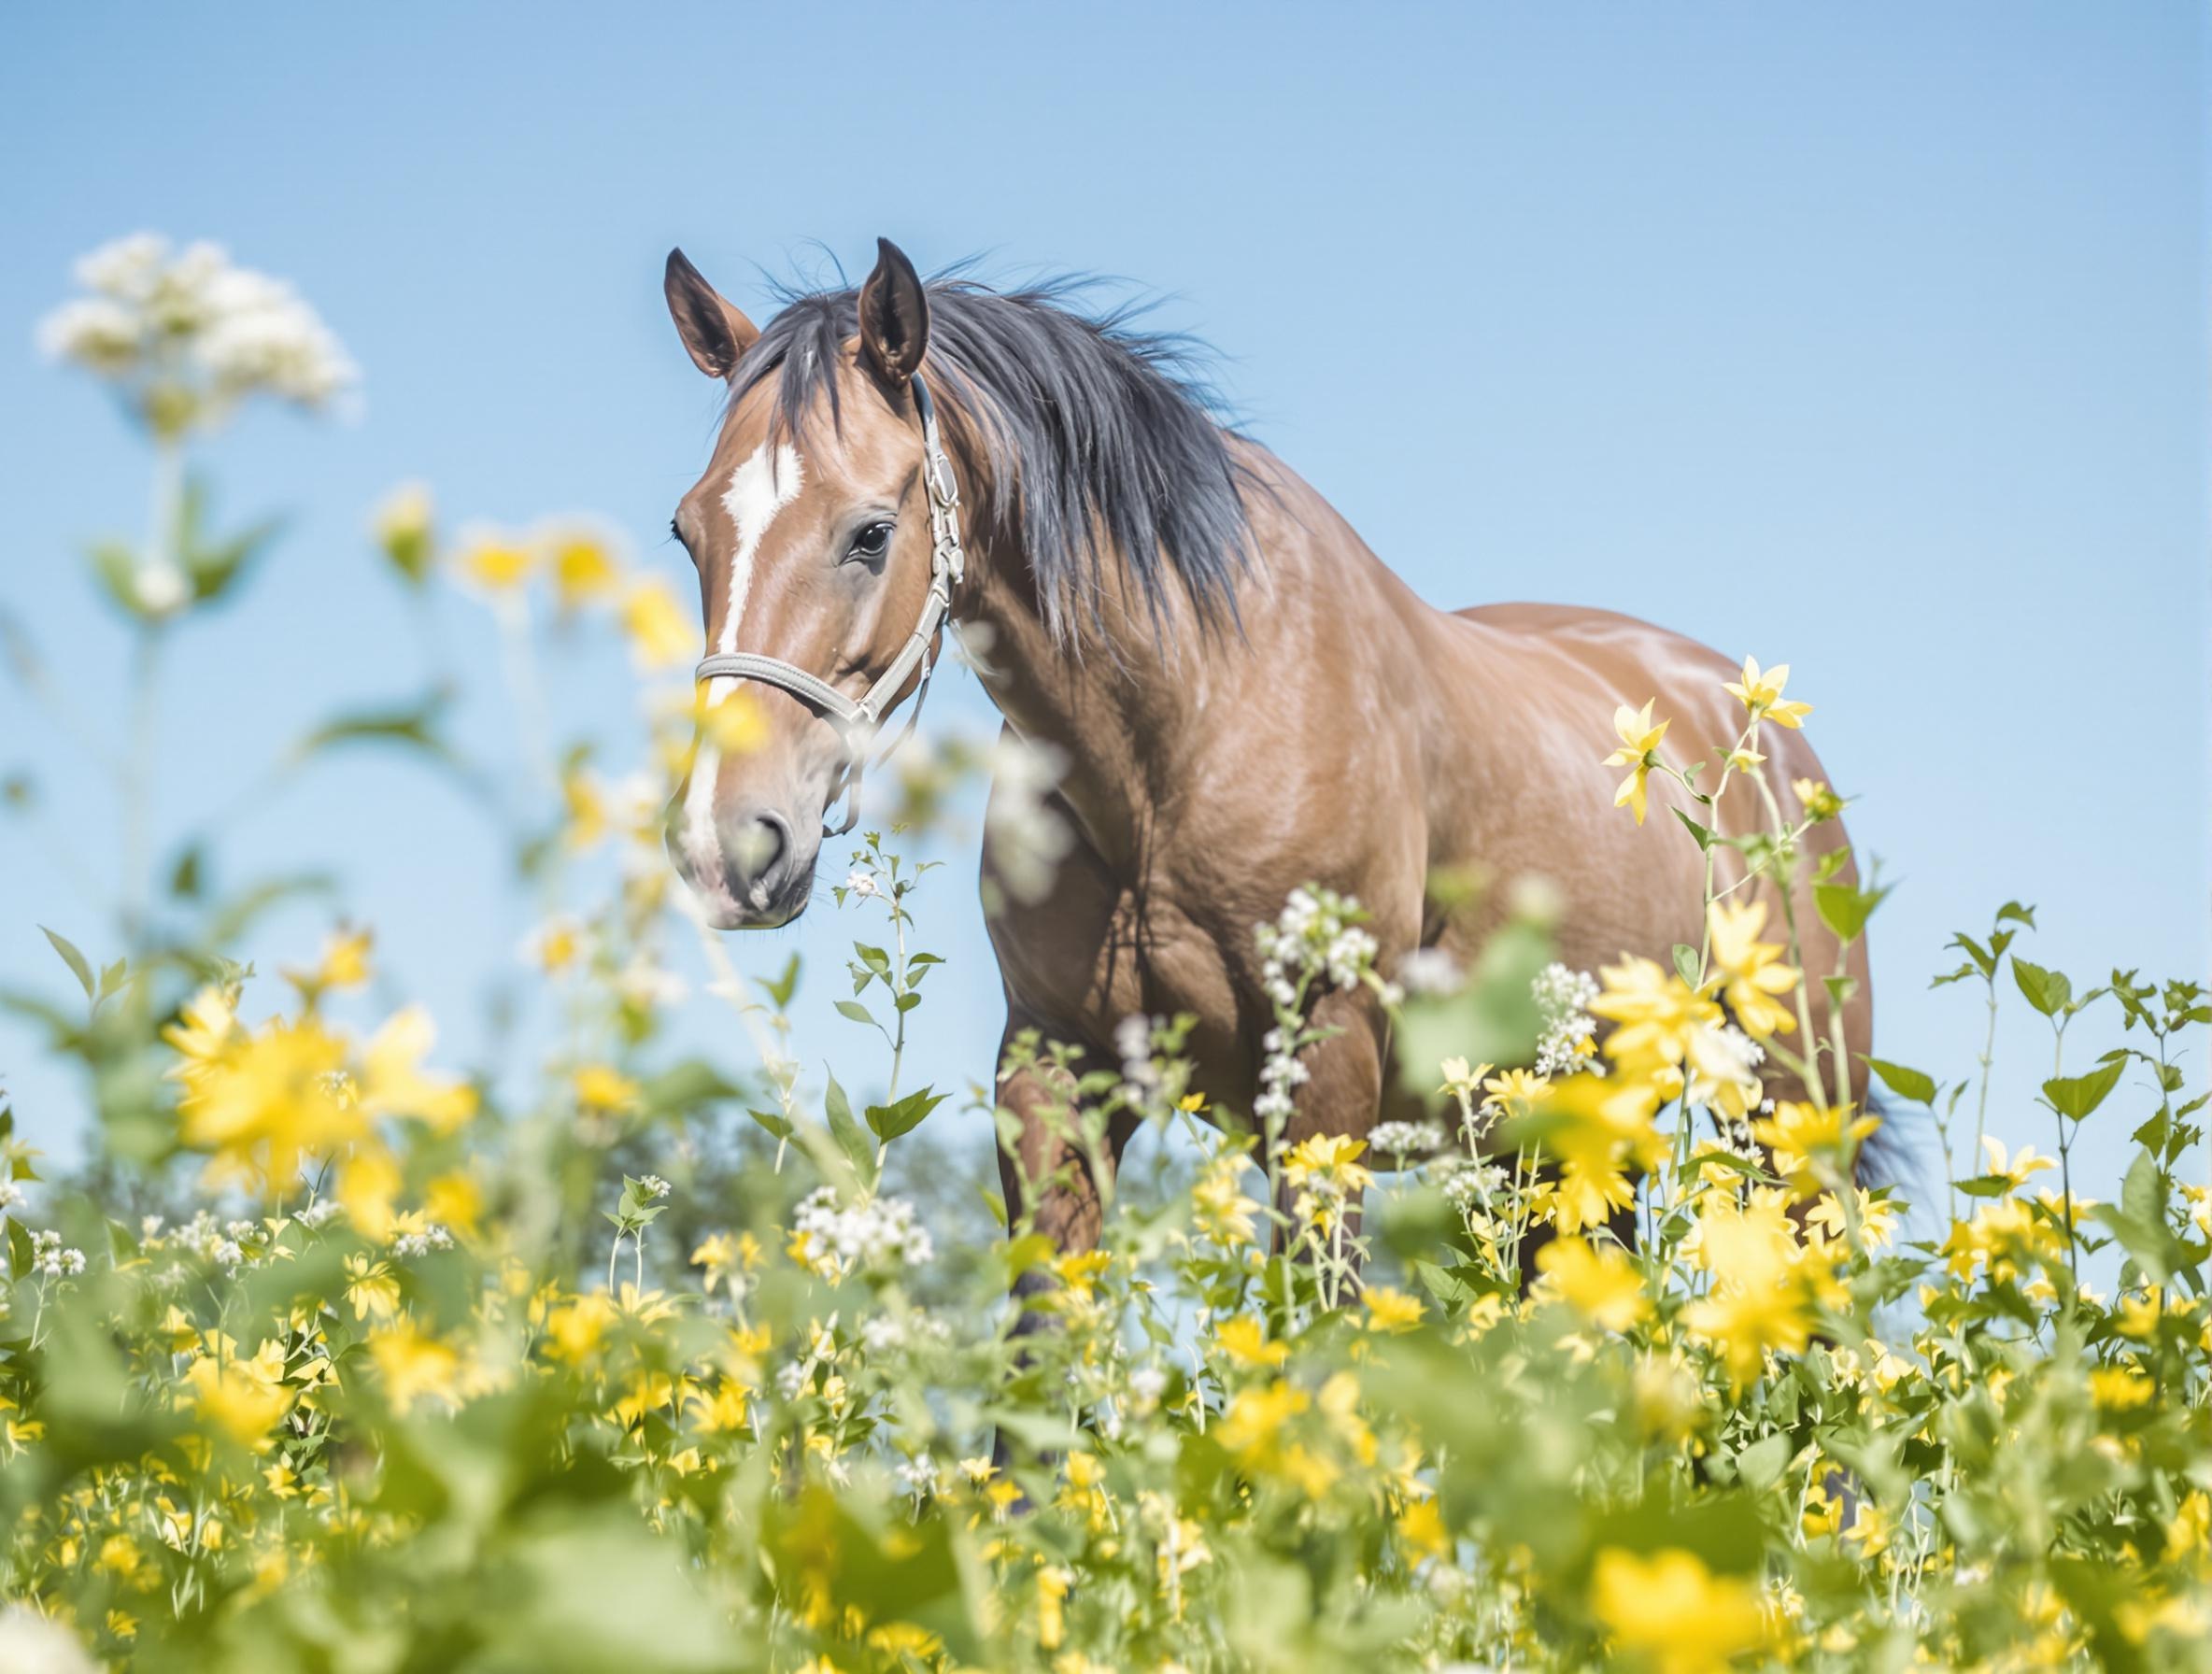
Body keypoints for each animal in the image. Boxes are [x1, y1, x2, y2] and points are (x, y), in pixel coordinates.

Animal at [654, 238, 1866, 1265]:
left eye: (870, 532)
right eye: (688, 531)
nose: (726, 845)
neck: (1182, 737)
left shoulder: (1328, 1071)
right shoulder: (1052, 1073)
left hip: (1792, 1122)